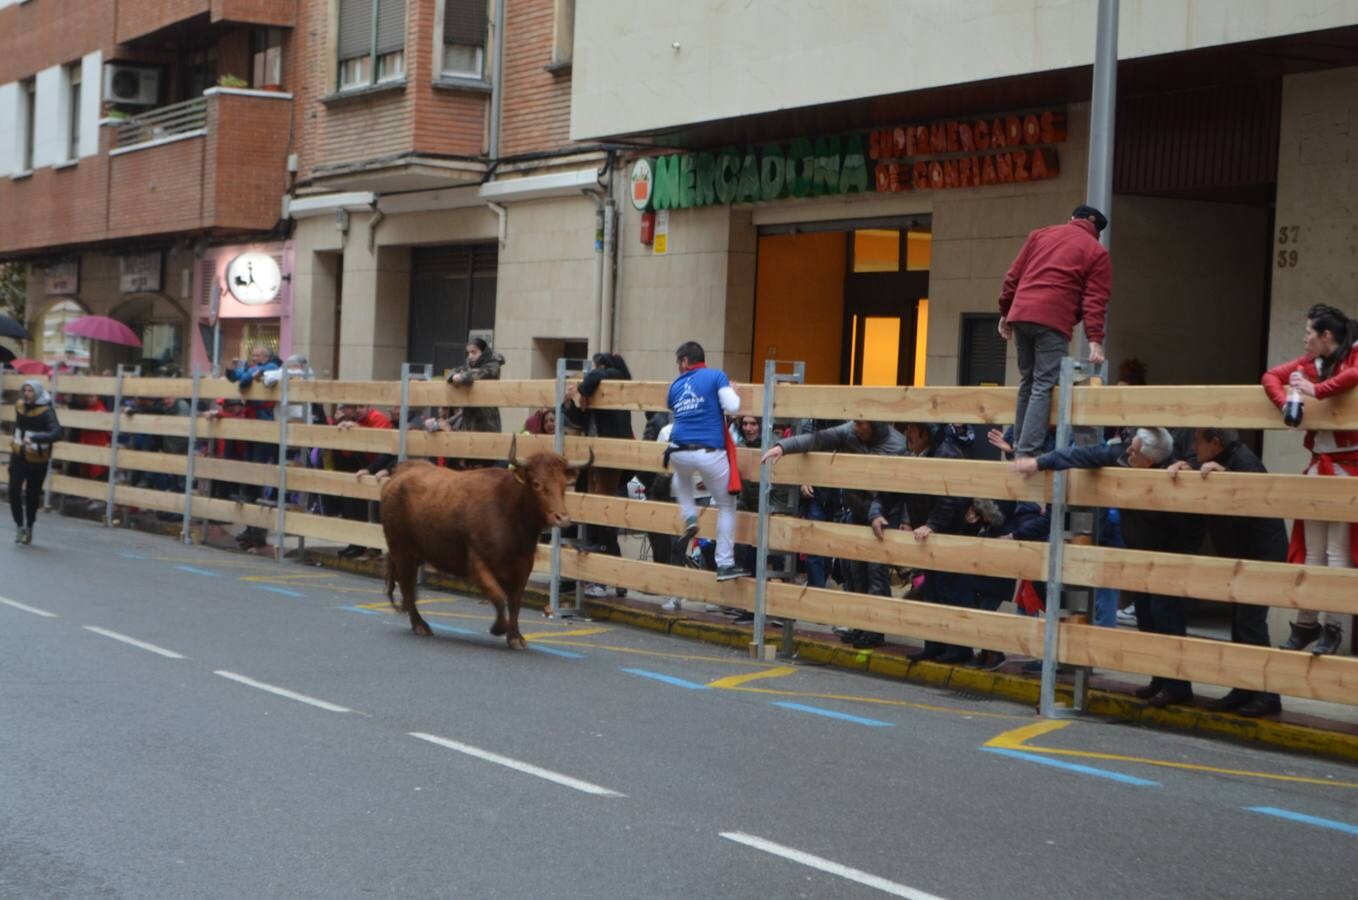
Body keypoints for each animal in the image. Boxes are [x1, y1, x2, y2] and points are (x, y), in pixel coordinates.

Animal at [382, 437, 594, 648]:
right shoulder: (477, 565)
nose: (562, 518)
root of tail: (400, 471)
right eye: (536, 483)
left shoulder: (523, 567)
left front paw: (515, 637)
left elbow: (515, 602)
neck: (510, 514)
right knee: (407, 586)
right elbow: (499, 597)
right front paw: (498, 628)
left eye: (563, 485)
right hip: (402, 552)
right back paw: (420, 625)